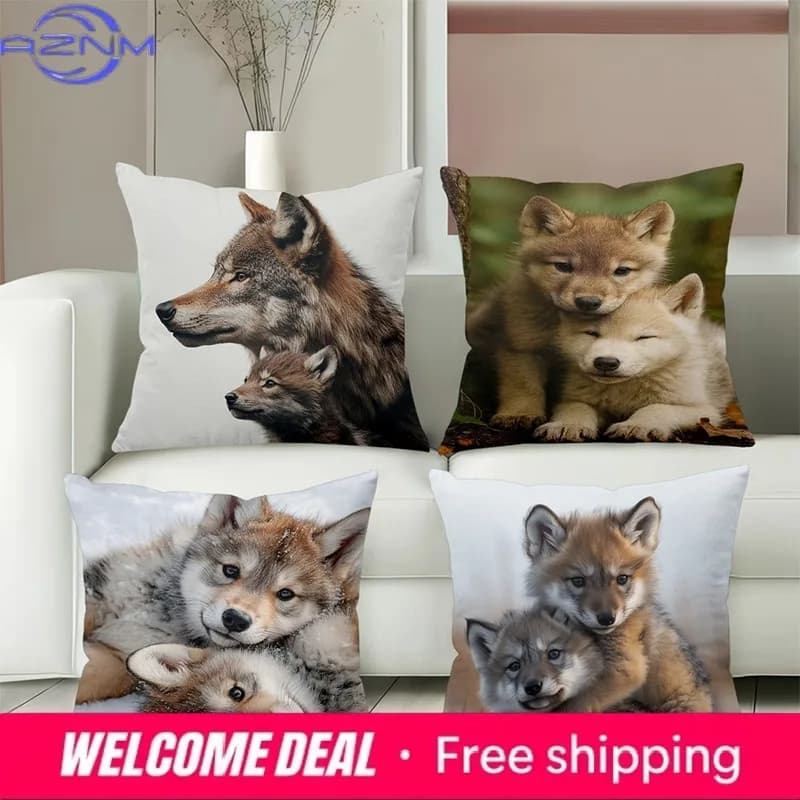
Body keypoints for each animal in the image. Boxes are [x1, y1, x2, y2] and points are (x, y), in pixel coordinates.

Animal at [78, 495, 369, 704]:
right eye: (230, 570)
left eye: (285, 594)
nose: (235, 619)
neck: (165, 615)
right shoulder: (102, 587)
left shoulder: (124, 661)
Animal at [467, 196, 674, 429]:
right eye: (563, 267)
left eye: (622, 271)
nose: (588, 302)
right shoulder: (522, 346)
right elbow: (523, 386)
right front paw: (520, 413)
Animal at [535, 273, 734, 442]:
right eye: (591, 333)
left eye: (643, 337)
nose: (606, 362)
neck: (625, 392)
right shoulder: (573, 398)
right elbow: (577, 407)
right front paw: (567, 424)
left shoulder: (704, 410)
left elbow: (657, 407)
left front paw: (638, 424)